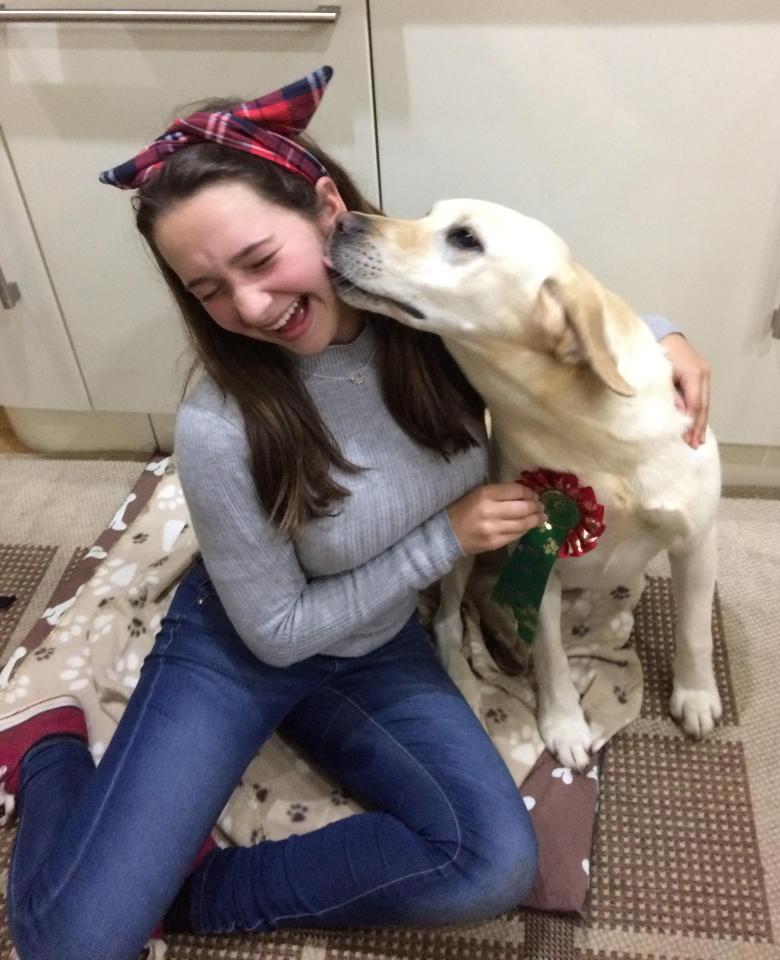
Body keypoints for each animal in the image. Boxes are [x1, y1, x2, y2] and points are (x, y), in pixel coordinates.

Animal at [326, 199, 724, 768]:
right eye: (428, 214)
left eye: (465, 238)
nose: (340, 221)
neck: (585, 429)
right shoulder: (541, 556)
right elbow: (553, 656)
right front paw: (564, 725)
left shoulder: (697, 541)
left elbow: (694, 630)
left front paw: (695, 696)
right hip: (469, 533)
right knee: (451, 615)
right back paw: (470, 673)